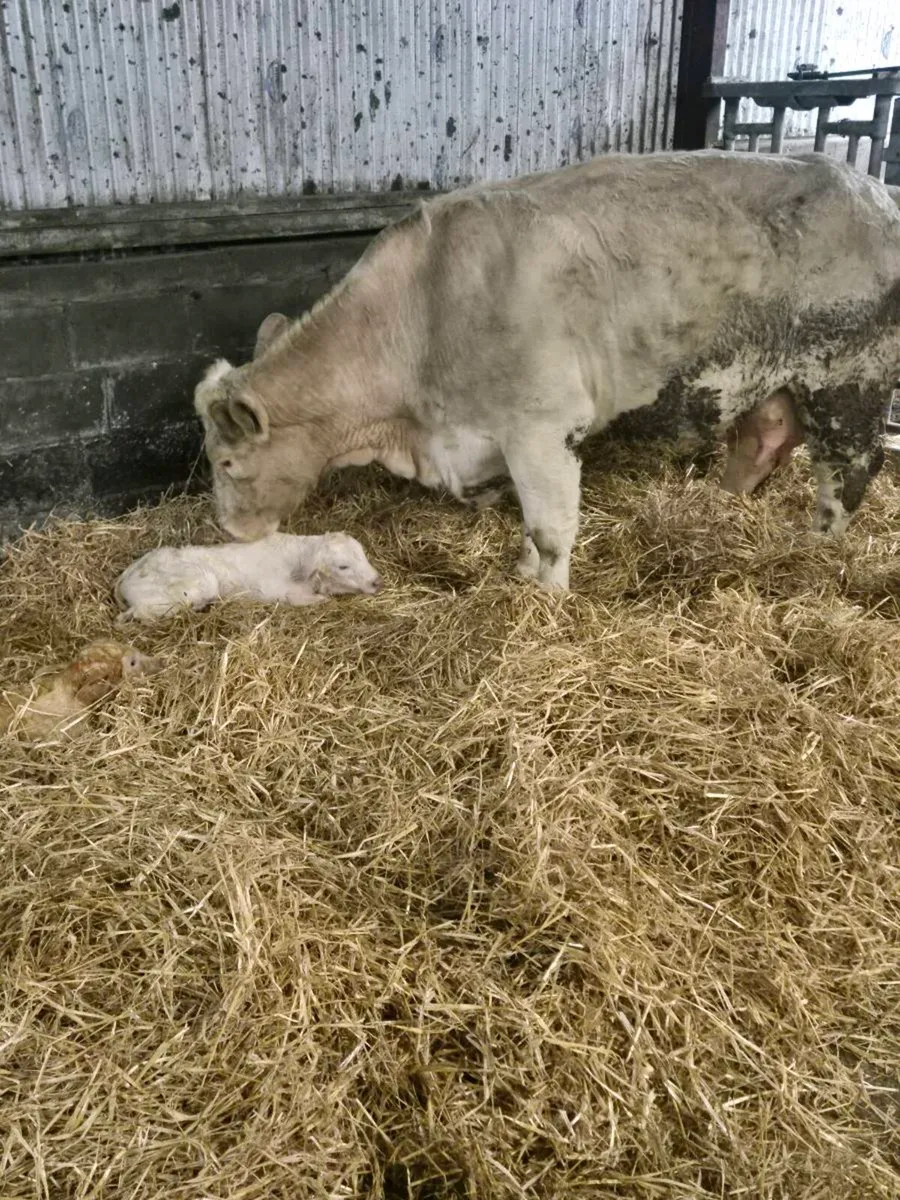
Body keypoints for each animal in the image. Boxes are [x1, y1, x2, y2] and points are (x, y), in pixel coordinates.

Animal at [195, 150, 900, 590]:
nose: (227, 530)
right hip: (776, 384)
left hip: (851, 383)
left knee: (846, 475)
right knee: (761, 443)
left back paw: (818, 547)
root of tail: (872, 188)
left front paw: (549, 597)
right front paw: (522, 573)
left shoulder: (542, 426)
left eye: (227, 461)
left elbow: (551, 527)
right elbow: (531, 531)